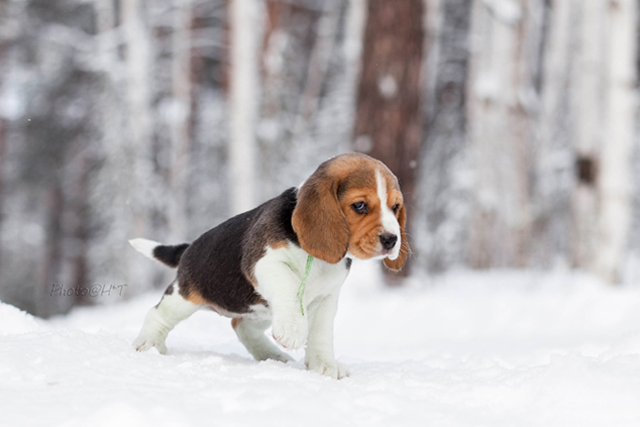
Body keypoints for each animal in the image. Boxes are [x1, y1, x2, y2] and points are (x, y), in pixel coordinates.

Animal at [129, 152, 408, 380]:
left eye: (395, 207)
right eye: (360, 205)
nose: (391, 240)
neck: (314, 258)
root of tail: (189, 248)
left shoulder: (326, 298)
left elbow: (321, 333)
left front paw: (324, 365)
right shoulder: (264, 263)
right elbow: (289, 285)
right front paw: (294, 330)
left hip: (259, 310)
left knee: (241, 326)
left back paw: (271, 355)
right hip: (185, 297)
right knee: (158, 315)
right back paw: (149, 344)